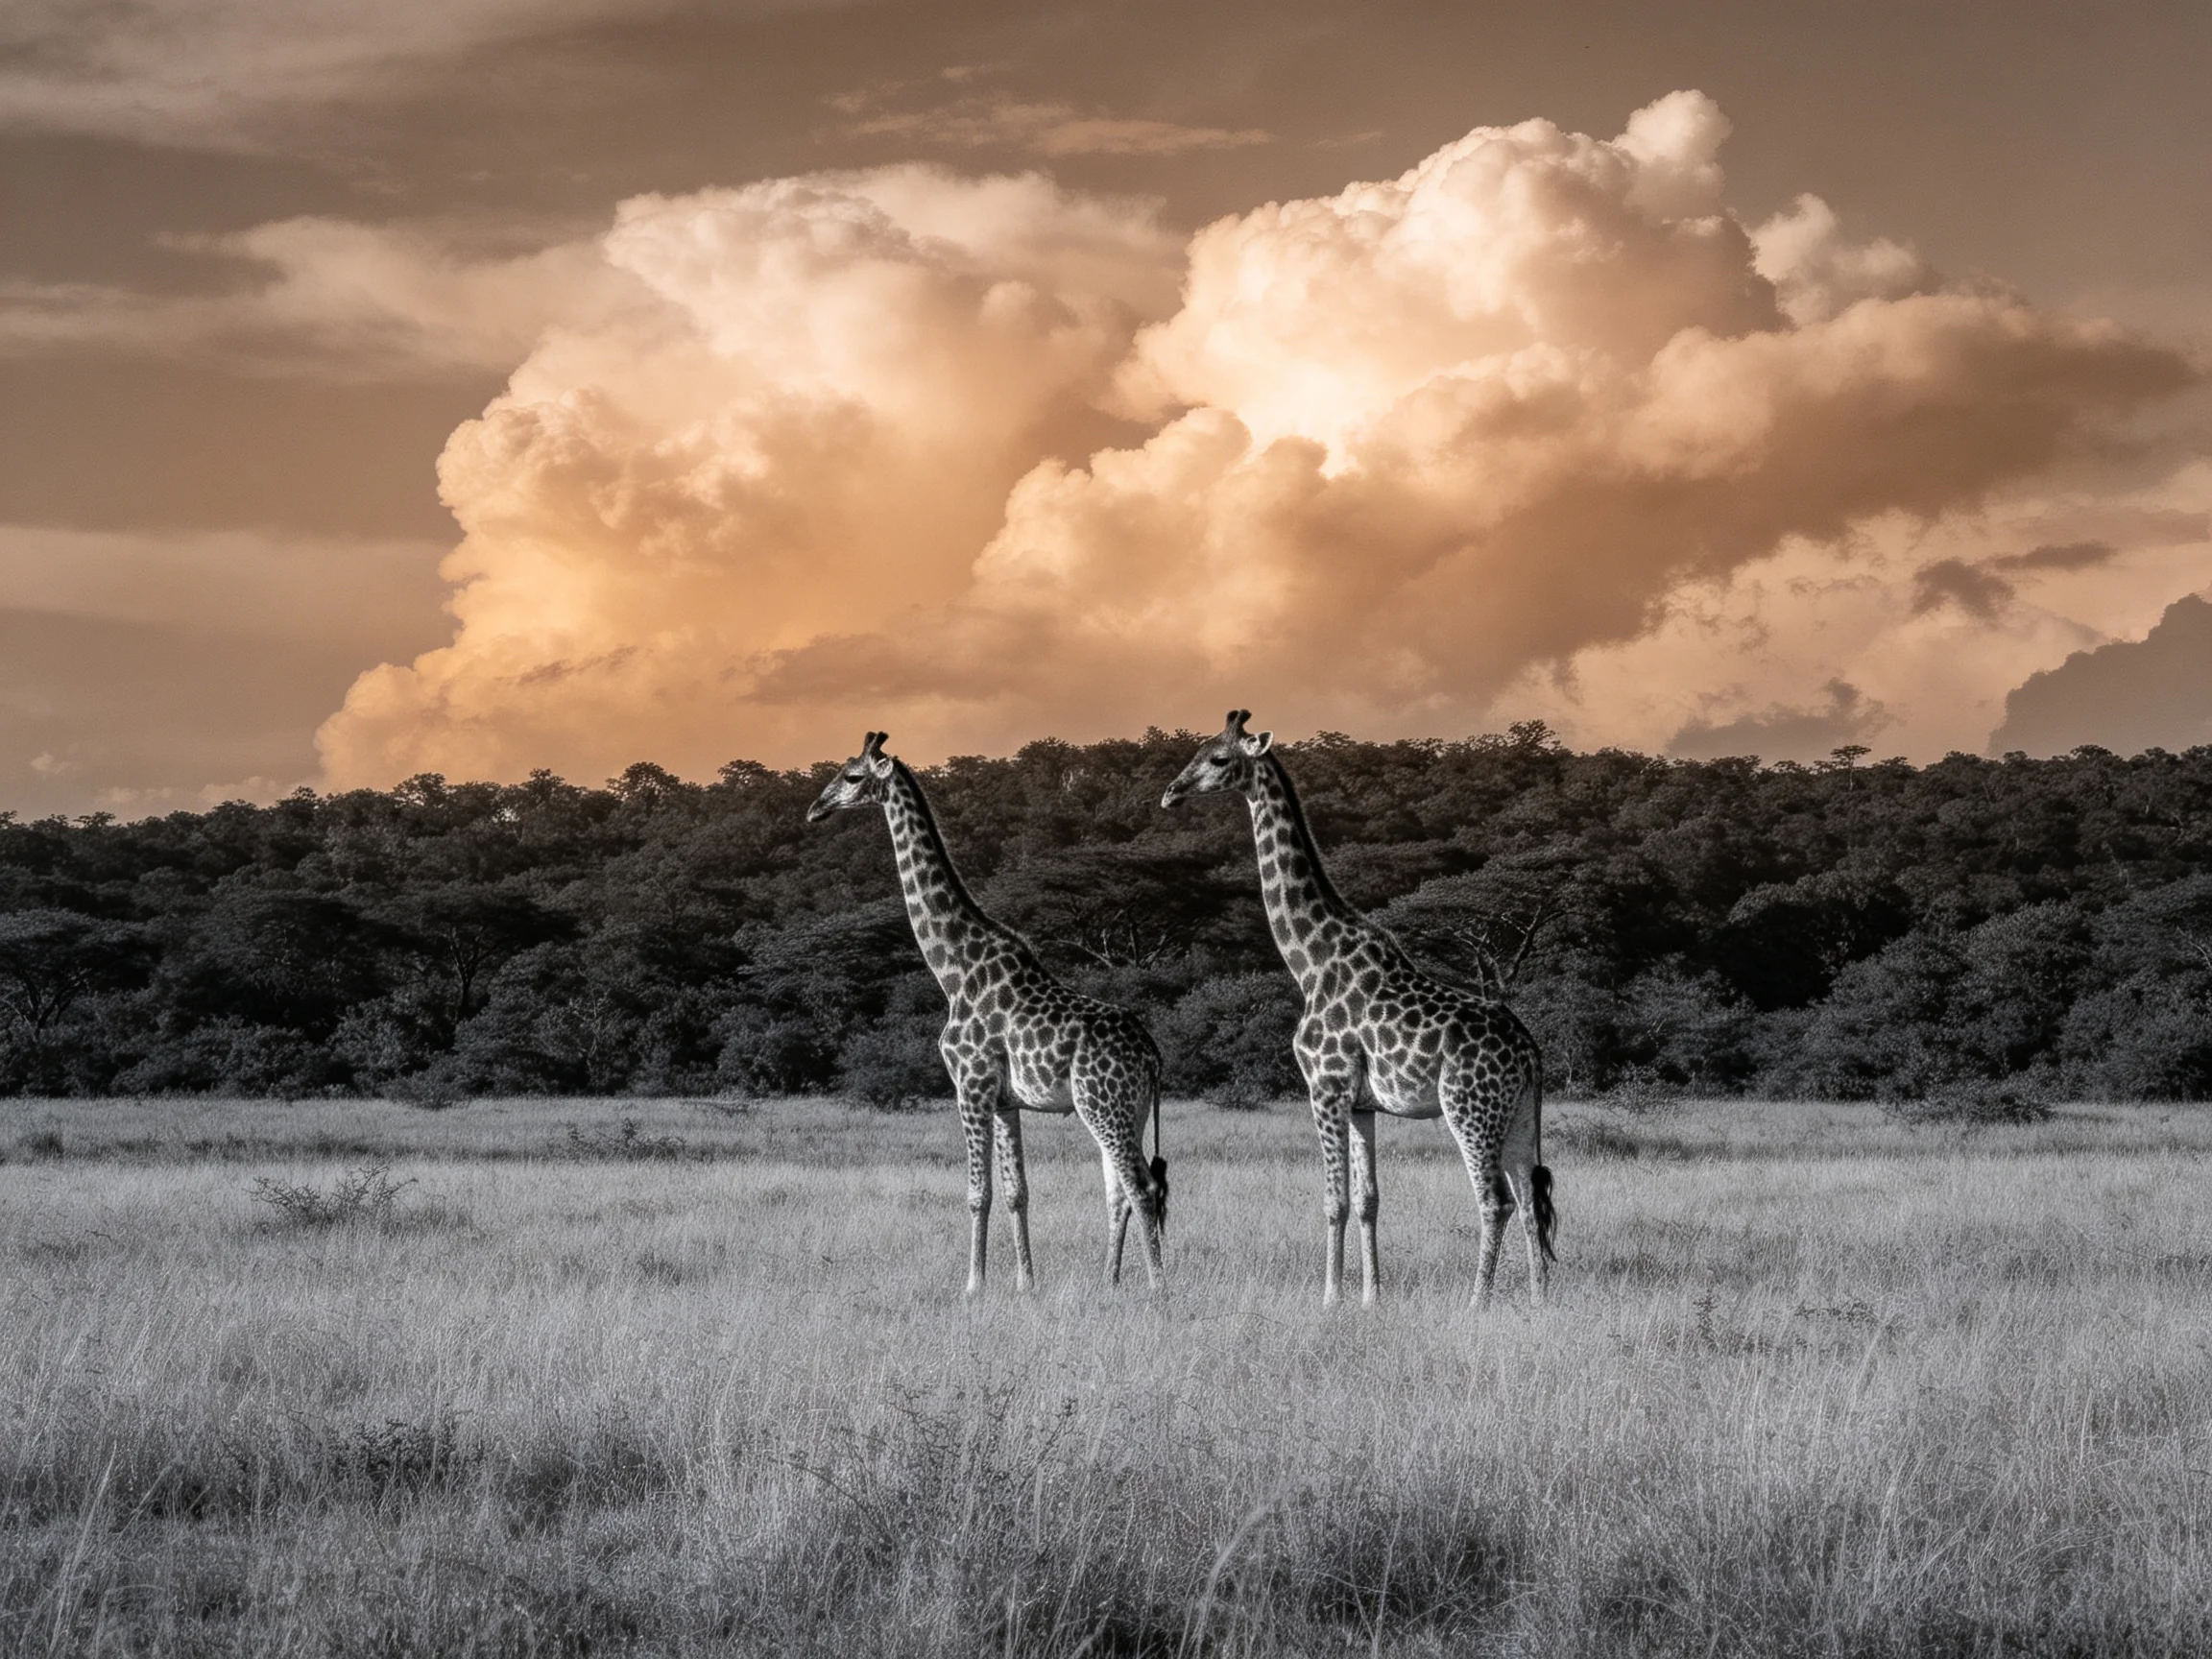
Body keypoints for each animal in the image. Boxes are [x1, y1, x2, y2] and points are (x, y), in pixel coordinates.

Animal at [808, 731, 1167, 1297]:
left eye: (851, 776)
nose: (815, 809)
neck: (954, 969)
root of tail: (1153, 1055)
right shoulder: (1005, 1101)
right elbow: (1018, 1191)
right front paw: (1025, 1284)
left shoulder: (970, 1084)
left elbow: (978, 1192)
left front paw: (973, 1286)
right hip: (1125, 1109)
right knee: (1120, 1189)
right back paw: (1107, 1283)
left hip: (1102, 1104)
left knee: (1141, 1185)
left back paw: (1157, 1288)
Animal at [1162, 711, 1554, 1308]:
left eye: (1219, 758)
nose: (1170, 793)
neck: (1310, 961)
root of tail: (1529, 1051)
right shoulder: (1363, 1102)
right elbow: (1369, 1199)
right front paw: (1372, 1296)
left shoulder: (1325, 1086)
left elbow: (1335, 1201)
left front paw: (1331, 1297)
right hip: (1518, 1114)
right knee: (1531, 1200)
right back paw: (1537, 1301)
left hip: (1469, 1108)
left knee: (1496, 1201)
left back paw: (1477, 1302)